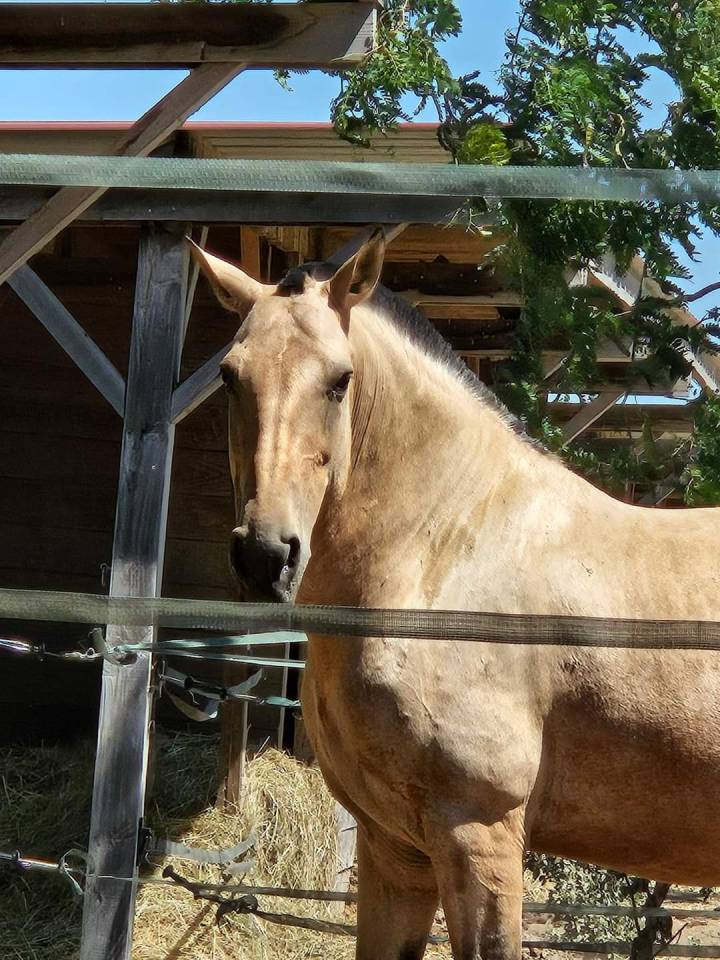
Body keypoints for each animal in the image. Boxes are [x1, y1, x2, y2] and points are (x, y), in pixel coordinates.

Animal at [190, 231, 720, 960]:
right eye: (228, 376)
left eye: (339, 380)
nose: (265, 554)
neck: (443, 557)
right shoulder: (395, 850)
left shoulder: (480, 836)